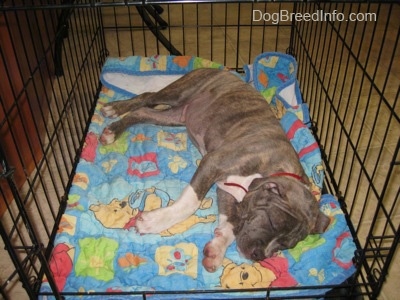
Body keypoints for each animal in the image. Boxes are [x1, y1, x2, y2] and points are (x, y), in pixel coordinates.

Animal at [101, 67, 332, 272]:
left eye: (285, 245)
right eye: (273, 222)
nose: (259, 255)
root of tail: (223, 70)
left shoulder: (226, 190)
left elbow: (231, 224)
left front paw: (217, 249)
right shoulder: (213, 163)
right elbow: (191, 203)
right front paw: (154, 222)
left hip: (174, 116)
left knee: (144, 112)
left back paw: (115, 128)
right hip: (179, 92)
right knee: (147, 97)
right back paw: (115, 111)